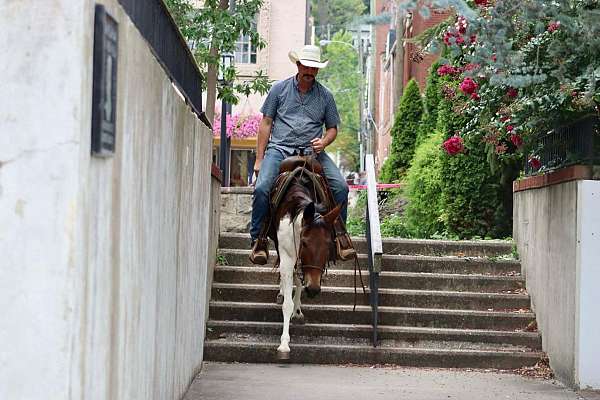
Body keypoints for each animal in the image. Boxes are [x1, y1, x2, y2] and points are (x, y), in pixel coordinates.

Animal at [268, 155, 342, 358]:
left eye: (329, 245)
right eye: (306, 243)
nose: (314, 290)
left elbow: (300, 281)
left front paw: (298, 310)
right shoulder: (287, 256)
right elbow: (287, 301)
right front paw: (284, 344)